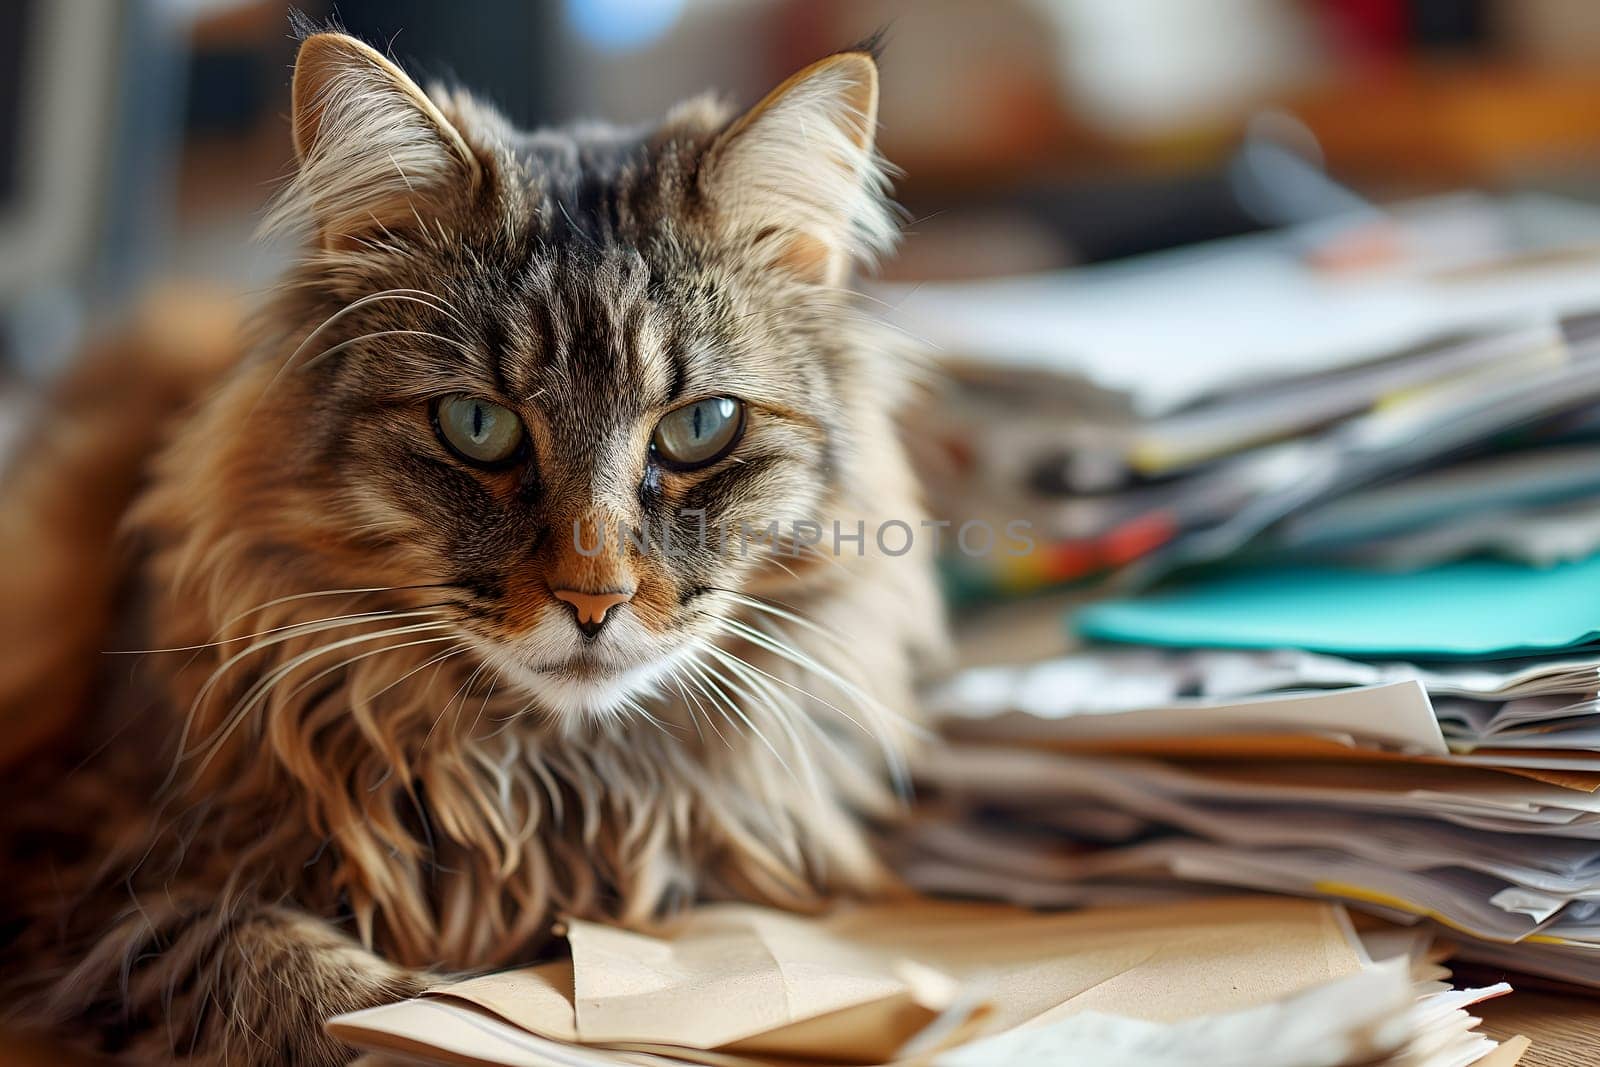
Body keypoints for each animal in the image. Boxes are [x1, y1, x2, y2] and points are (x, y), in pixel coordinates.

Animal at [0, 29, 940, 1062]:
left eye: (701, 428)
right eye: (477, 425)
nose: (594, 598)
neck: (545, 786)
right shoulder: (89, 855)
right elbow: (291, 976)